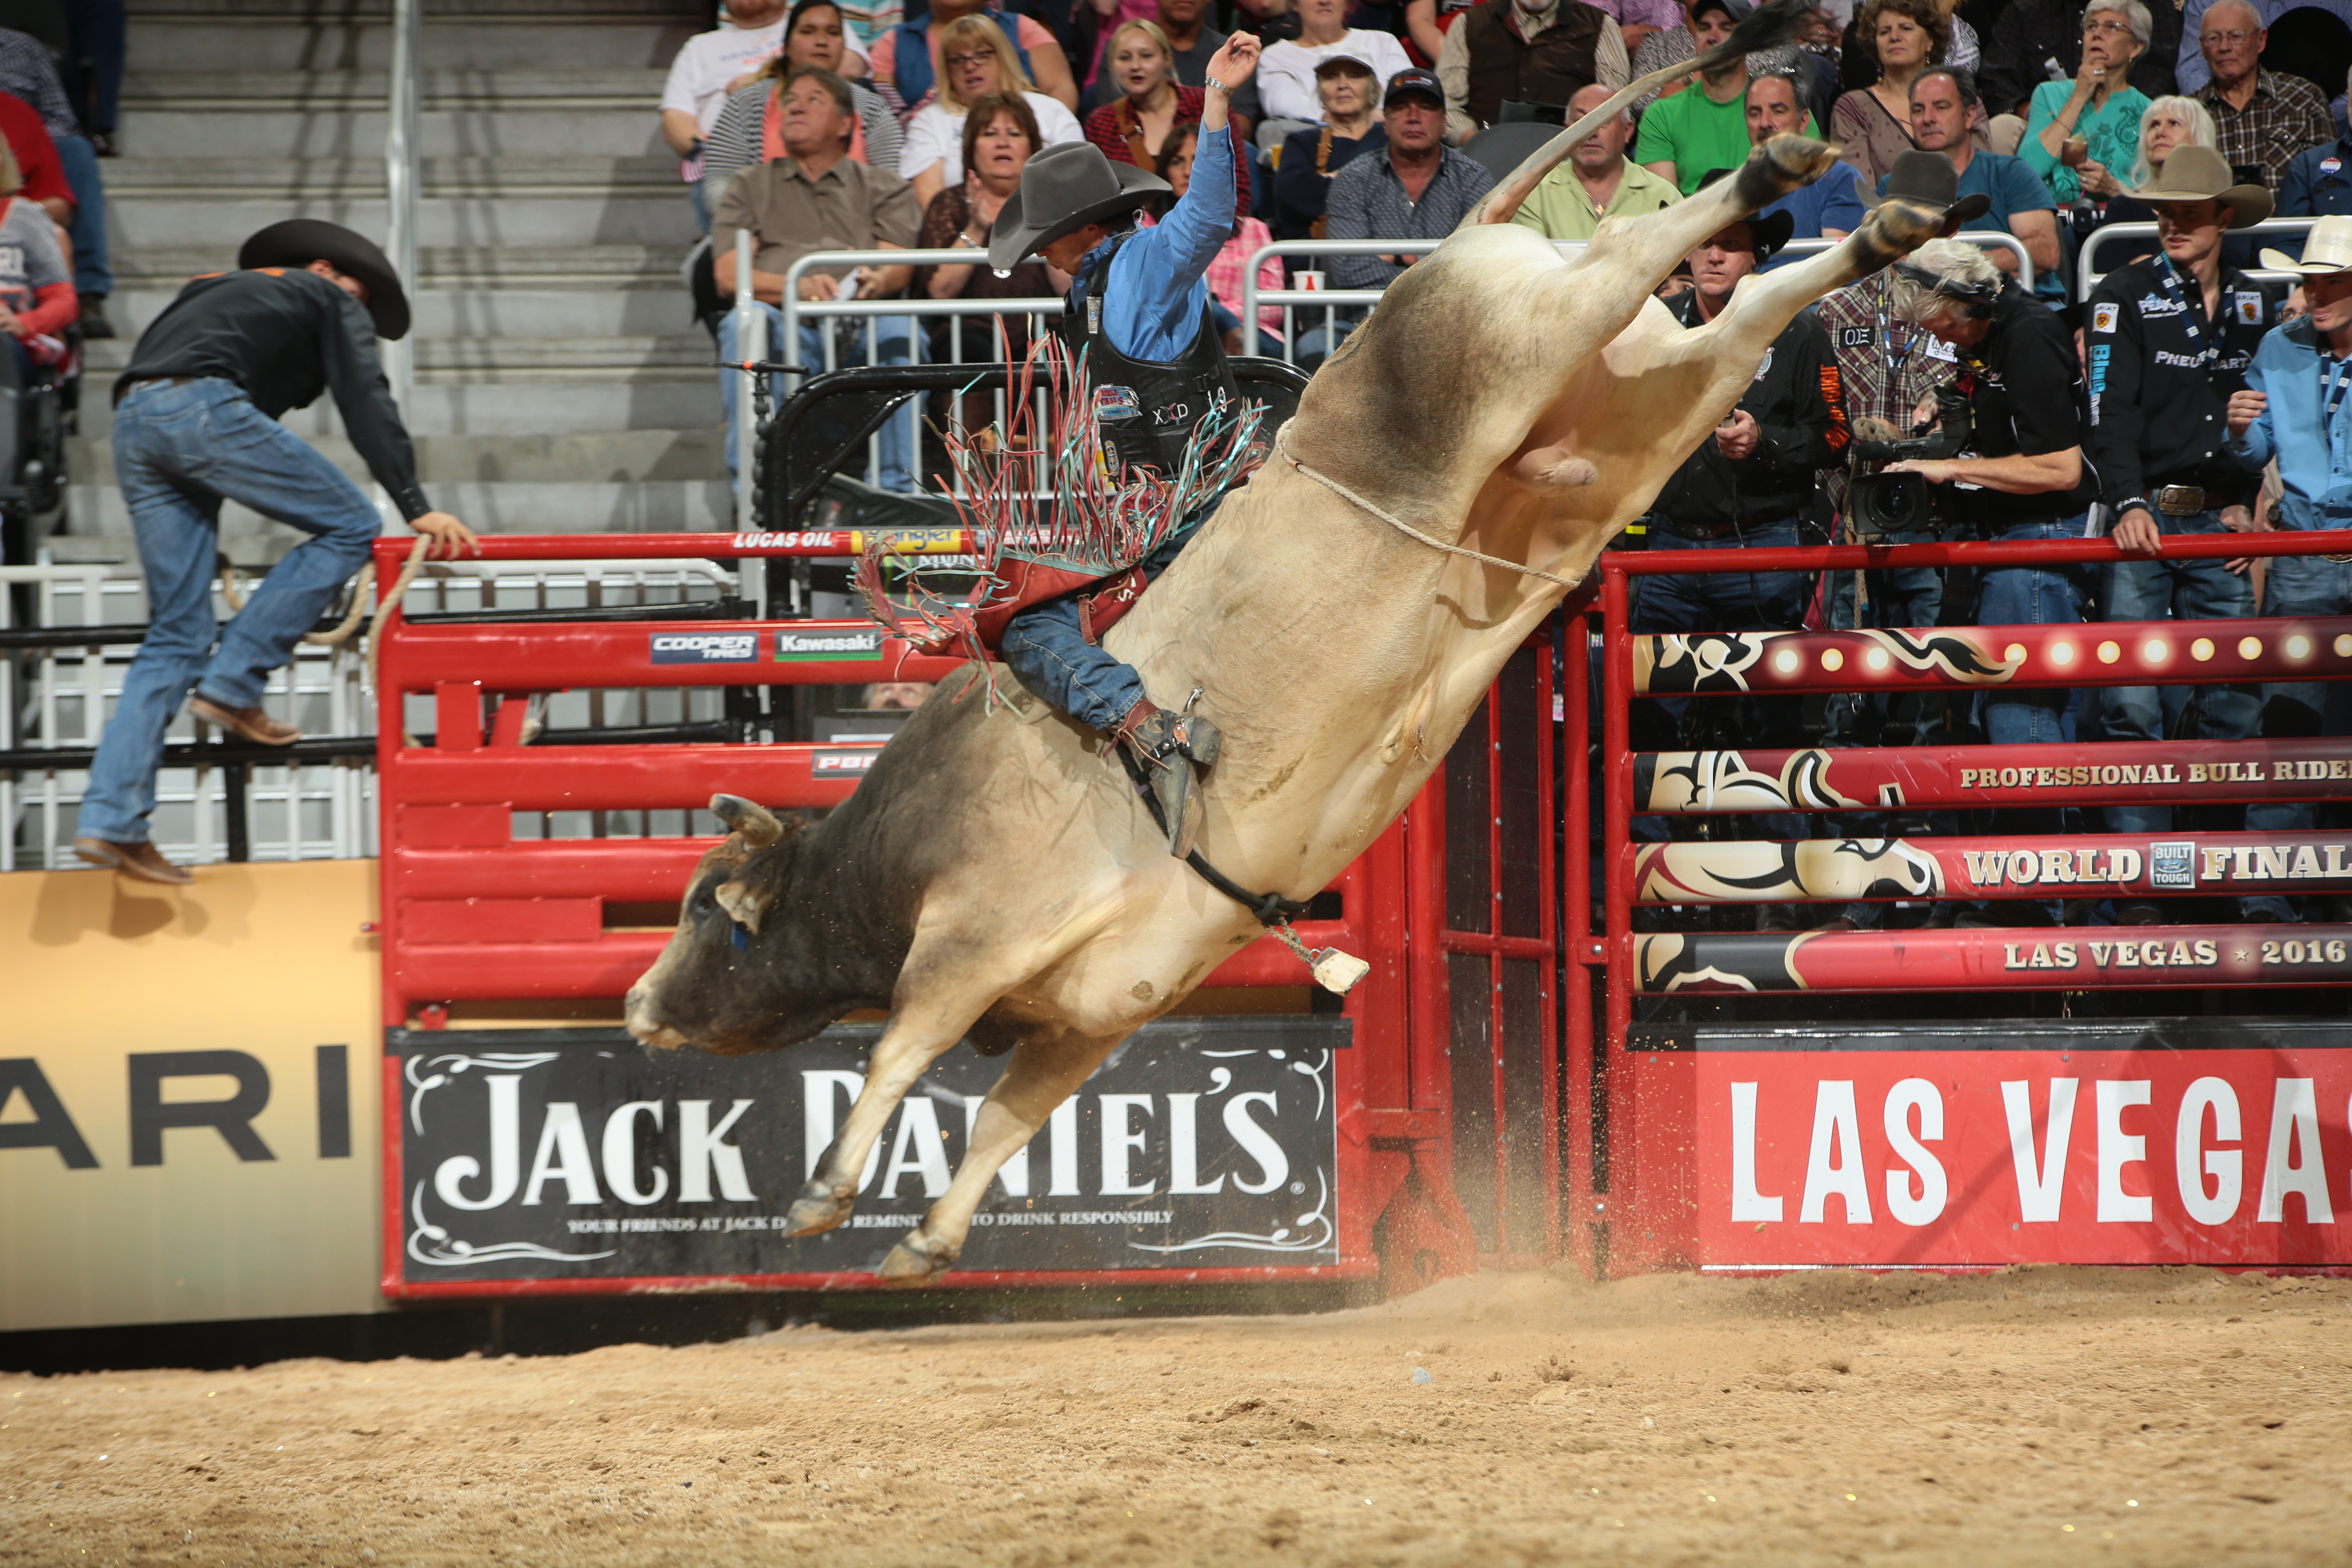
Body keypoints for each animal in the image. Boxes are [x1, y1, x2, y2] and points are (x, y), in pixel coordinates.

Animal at [624, 0, 1960, 1285]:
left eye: (698, 911)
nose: (636, 1004)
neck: (887, 857)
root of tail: (1462, 241)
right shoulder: (1093, 1011)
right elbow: (1007, 1115)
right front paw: (929, 1238)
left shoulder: (967, 940)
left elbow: (903, 1049)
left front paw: (825, 1192)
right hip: (1650, 400)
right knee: (1743, 312)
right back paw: (1878, 224)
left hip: (1532, 334)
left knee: (1643, 249)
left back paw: (1782, 164)